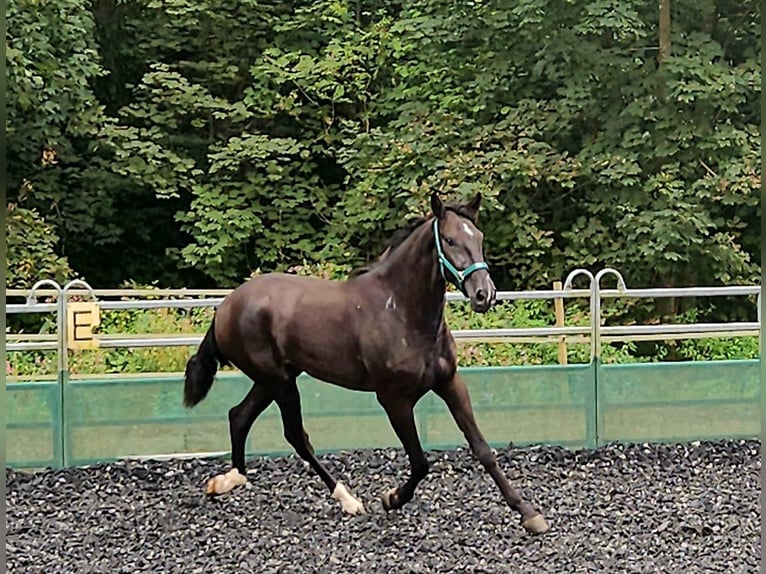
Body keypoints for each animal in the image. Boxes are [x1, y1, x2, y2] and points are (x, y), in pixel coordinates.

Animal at [183, 192, 550, 535]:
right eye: (449, 240)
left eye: (479, 237)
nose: (484, 295)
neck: (401, 310)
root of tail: (225, 307)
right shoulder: (393, 399)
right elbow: (420, 462)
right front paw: (391, 498)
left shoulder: (449, 383)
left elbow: (483, 449)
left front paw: (529, 514)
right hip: (279, 382)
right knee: (295, 435)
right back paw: (348, 500)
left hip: (274, 379)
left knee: (239, 417)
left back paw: (227, 482)